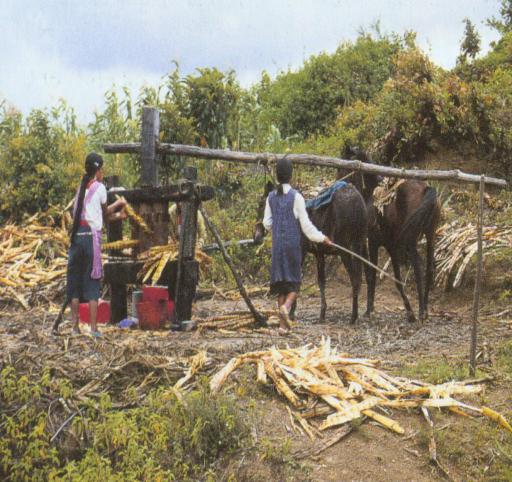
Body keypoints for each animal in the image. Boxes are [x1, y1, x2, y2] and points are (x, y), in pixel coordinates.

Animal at [343, 147, 441, 322]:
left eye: (345, 167)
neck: (371, 195)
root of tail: (426, 189)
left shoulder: (375, 243)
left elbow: (373, 275)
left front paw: (369, 310)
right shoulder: (391, 246)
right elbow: (394, 277)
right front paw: (408, 311)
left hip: (411, 242)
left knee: (418, 268)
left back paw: (421, 311)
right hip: (430, 237)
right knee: (429, 269)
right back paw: (425, 309)